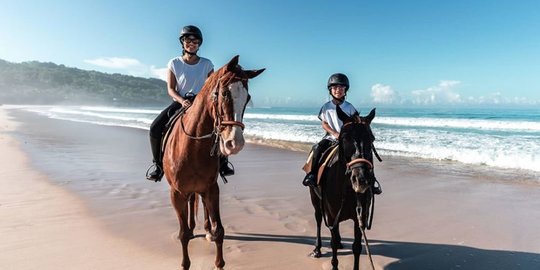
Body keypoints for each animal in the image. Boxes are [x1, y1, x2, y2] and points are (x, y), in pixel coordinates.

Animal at [165, 55, 266, 270]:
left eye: (247, 98)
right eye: (225, 94)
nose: (235, 143)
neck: (193, 146)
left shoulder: (212, 188)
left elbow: (219, 230)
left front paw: (218, 261)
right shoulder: (177, 193)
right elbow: (183, 234)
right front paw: (185, 263)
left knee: (200, 203)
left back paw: (206, 230)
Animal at [310, 105, 378, 270]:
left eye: (371, 138)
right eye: (345, 138)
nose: (361, 180)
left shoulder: (360, 216)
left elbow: (357, 247)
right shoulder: (331, 214)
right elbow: (333, 243)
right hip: (316, 201)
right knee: (318, 220)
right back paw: (317, 249)